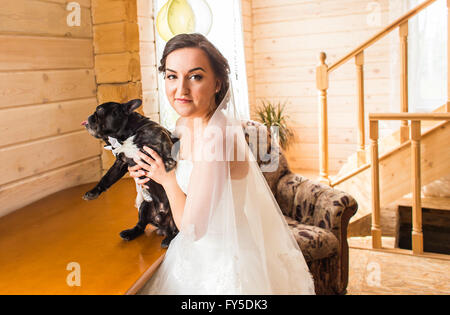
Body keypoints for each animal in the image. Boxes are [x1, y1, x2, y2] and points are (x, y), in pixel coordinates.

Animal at [81, 100, 180, 248]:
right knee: (141, 225)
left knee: (178, 230)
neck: (124, 137)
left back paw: (169, 239)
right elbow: (107, 178)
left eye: (100, 110)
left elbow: (166, 153)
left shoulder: (160, 143)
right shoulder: (120, 163)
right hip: (145, 206)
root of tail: (163, 227)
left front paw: (167, 165)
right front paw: (93, 192)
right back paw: (129, 233)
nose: (89, 116)